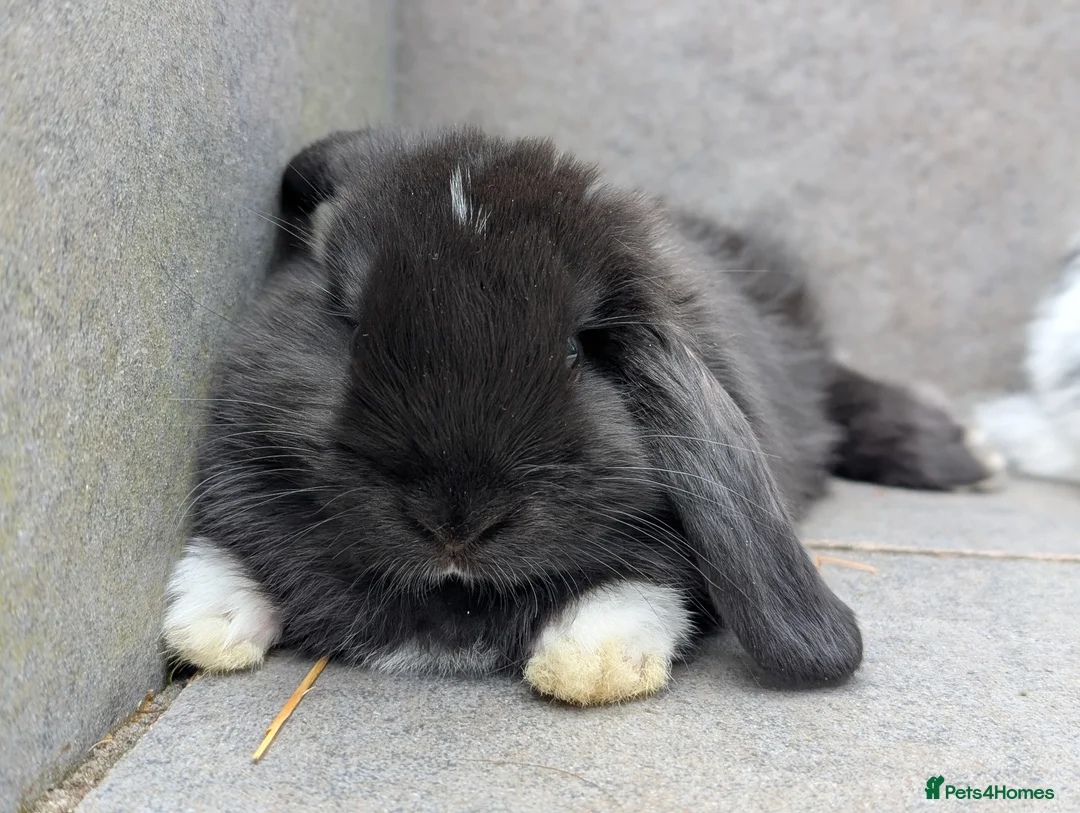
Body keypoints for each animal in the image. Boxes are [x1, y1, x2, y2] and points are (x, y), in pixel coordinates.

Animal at [163, 127, 1002, 706]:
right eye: (356, 329)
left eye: (576, 348)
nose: (455, 523)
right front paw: (208, 619)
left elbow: (646, 590)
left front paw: (588, 659)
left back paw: (971, 452)